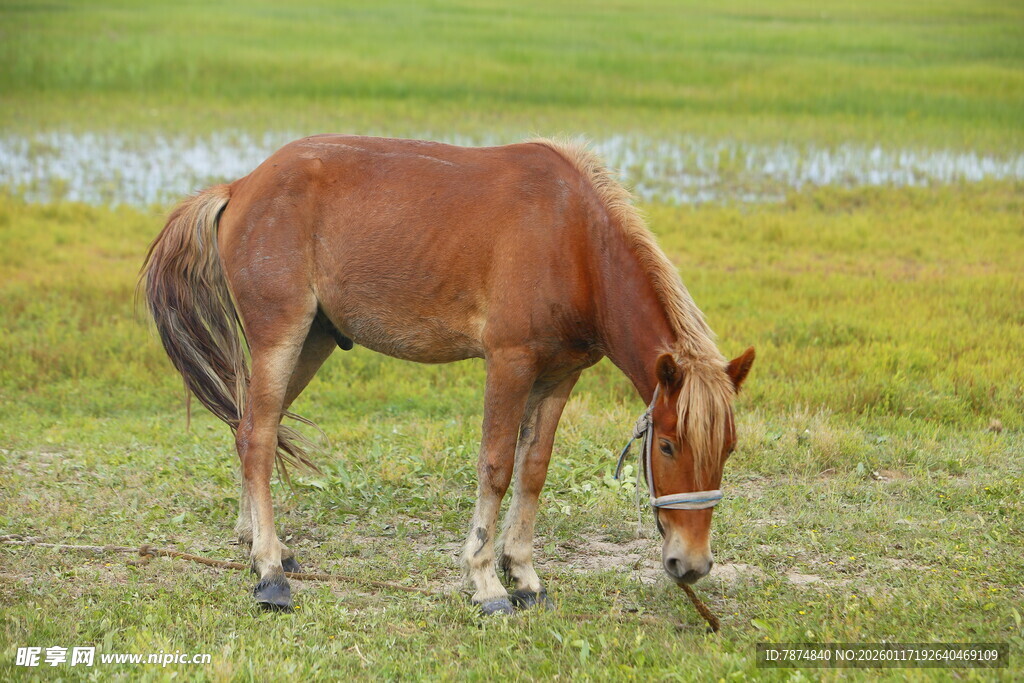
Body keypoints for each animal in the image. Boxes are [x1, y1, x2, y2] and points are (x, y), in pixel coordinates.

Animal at [142, 135, 755, 613]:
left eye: (727, 448)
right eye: (668, 446)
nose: (691, 564)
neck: (575, 241)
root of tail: (240, 186)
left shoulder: (559, 377)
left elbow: (533, 470)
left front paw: (524, 574)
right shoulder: (509, 363)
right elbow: (496, 468)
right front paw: (485, 581)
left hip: (311, 341)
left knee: (249, 428)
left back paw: (256, 544)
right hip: (280, 337)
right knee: (258, 436)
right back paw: (269, 570)